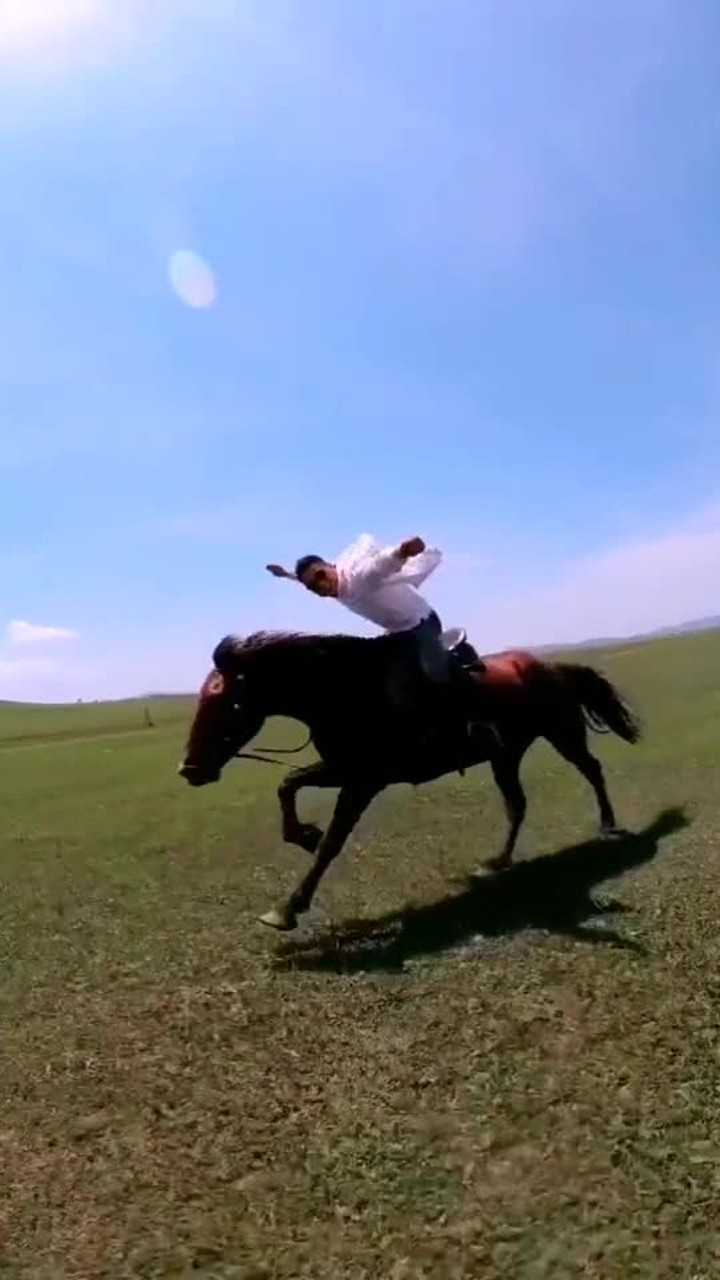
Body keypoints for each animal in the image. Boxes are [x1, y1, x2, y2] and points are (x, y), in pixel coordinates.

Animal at [179, 630, 640, 931]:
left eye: (226, 702)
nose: (190, 770)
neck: (349, 690)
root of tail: (550, 666)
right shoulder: (343, 769)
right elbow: (288, 784)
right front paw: (302, 835)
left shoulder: (364, 781)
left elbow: (332, 842)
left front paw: (288, 906)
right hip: (506, 754)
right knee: (517, 803)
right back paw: (497, 861)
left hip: (562, 734)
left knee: (591, 770)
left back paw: (608, 824)